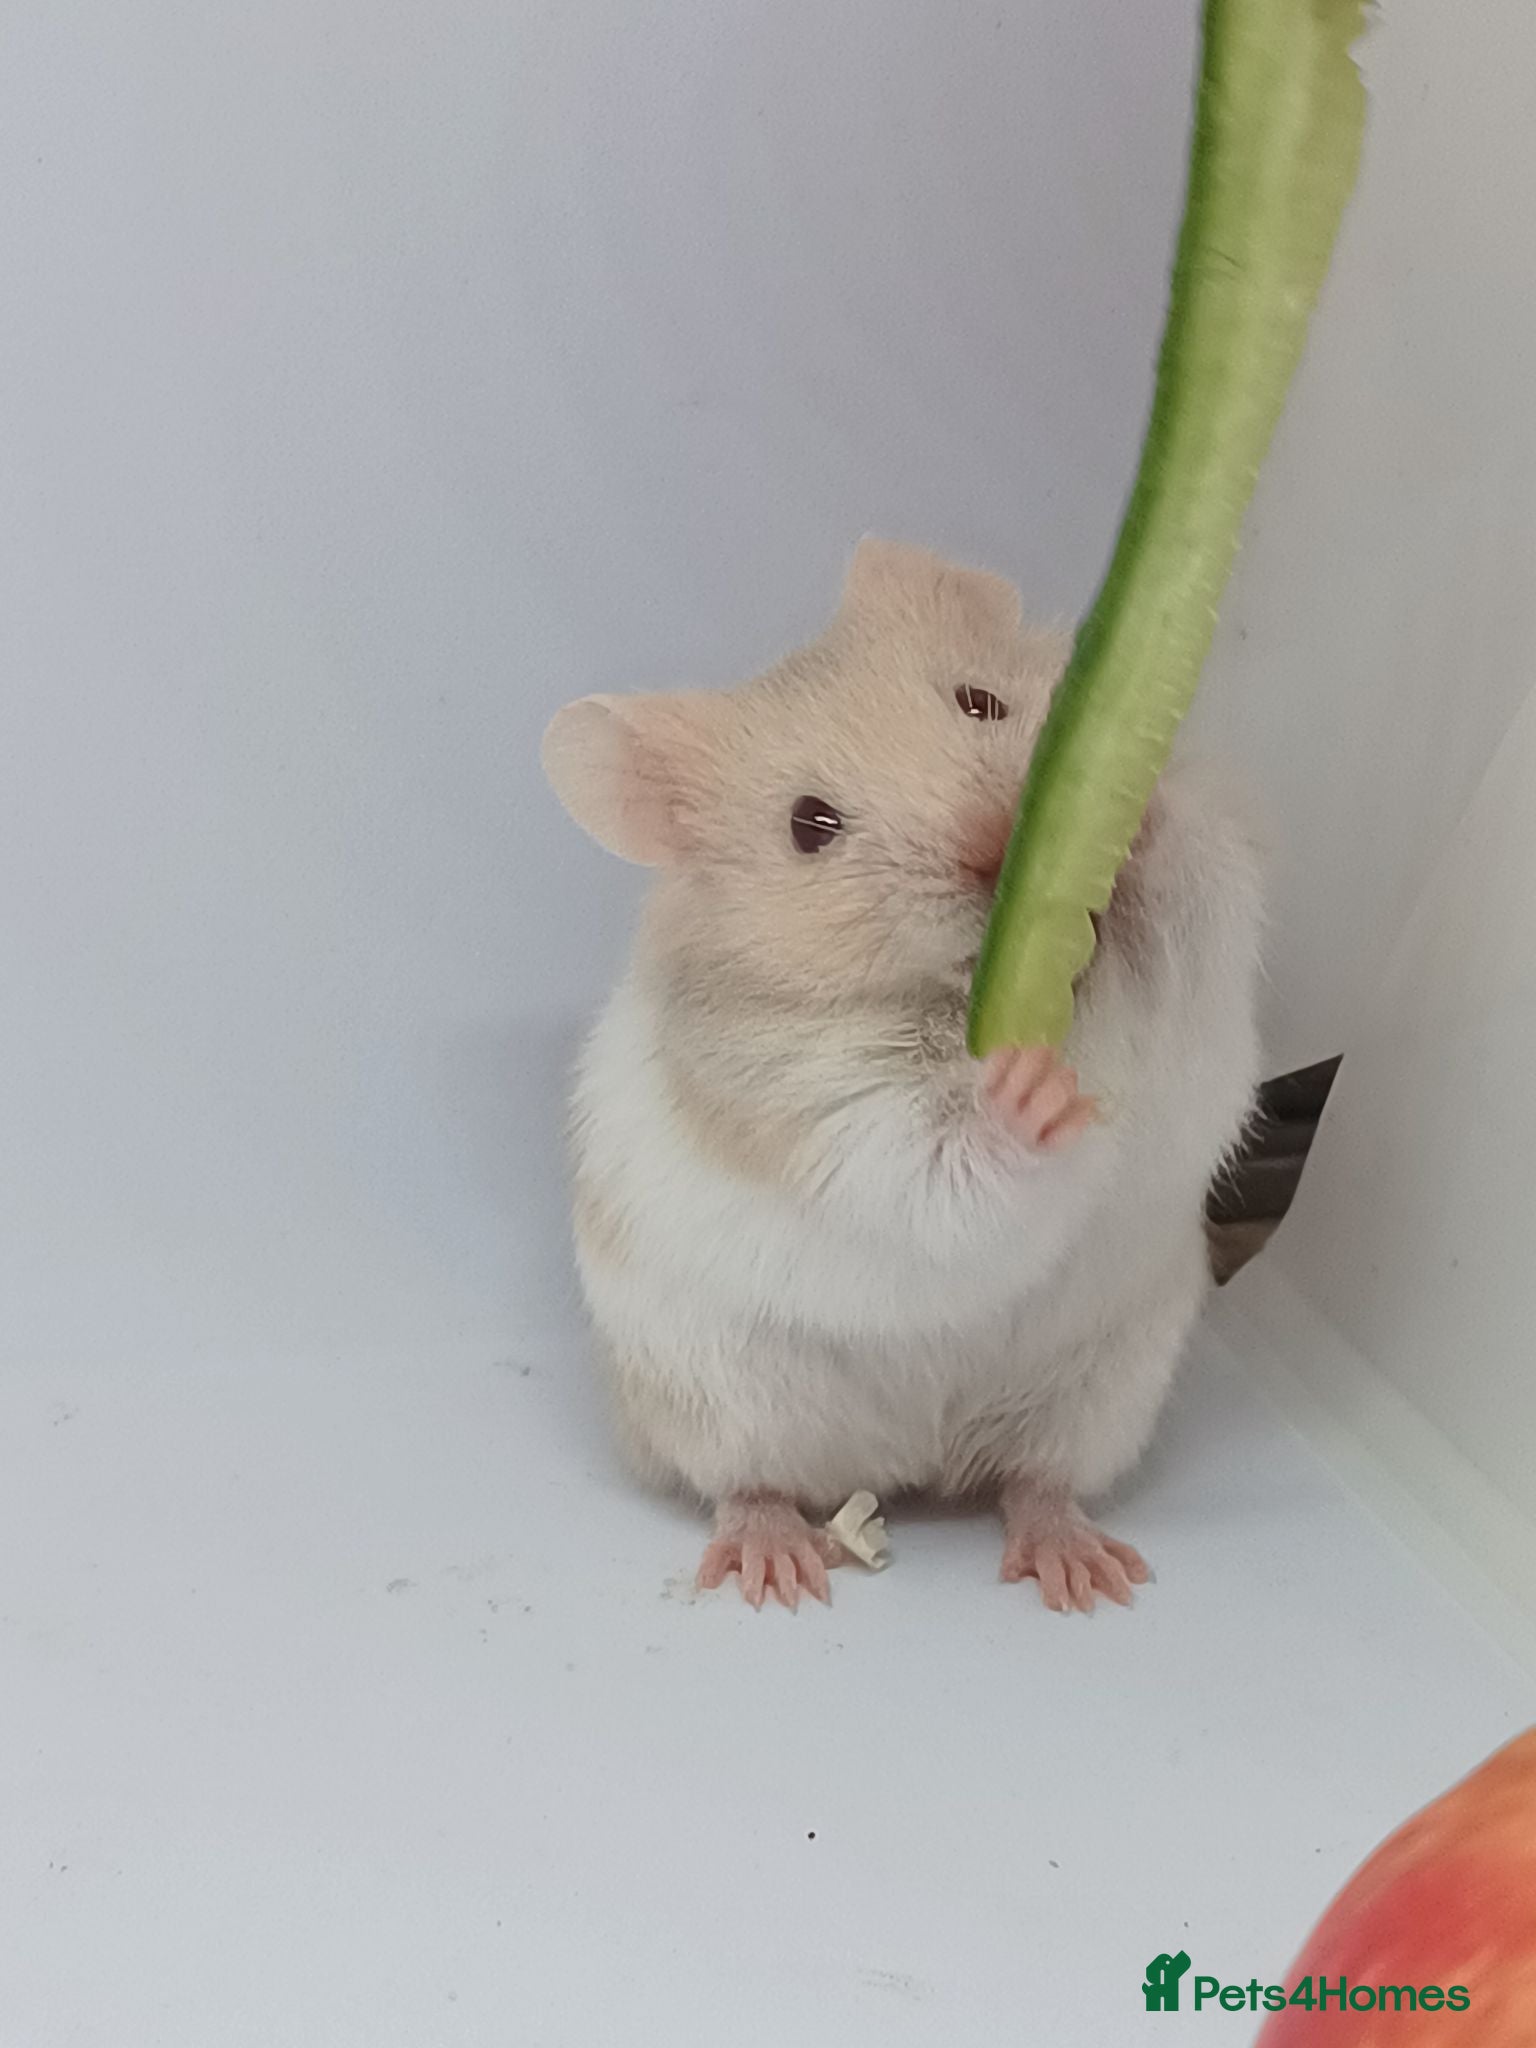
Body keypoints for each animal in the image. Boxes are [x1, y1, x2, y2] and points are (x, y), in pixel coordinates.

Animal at [541, 539, 1261, 1611]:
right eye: (811, 824)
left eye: (980, 701)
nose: (1000, 844)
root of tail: (917, 1457)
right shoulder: (832, 1119)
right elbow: (941, 1165)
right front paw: (1031, 1096)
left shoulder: (1207, 961)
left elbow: (1193, 896)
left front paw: (1129, 813)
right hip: (717, 1397)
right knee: (750, 1486)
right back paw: (778, 1571)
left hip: (1102, 1393)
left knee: (1035, 1482)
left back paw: (1086, 1574)